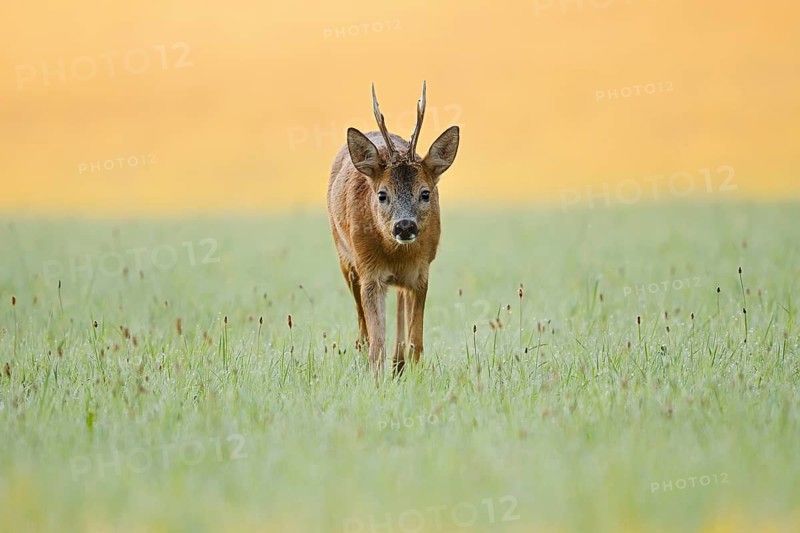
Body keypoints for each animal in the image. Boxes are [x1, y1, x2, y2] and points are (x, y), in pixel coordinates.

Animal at [327, 81, 460, 377]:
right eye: (382, 195)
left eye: (425, 193)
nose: (405, 226)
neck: (396, 255)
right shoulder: (369, 270)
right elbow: (377, 342)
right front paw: (375, 379)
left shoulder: (421, 271)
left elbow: (416, 341)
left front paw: (412, 375)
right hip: (344, 258)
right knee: (362, 327)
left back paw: (398, 366)